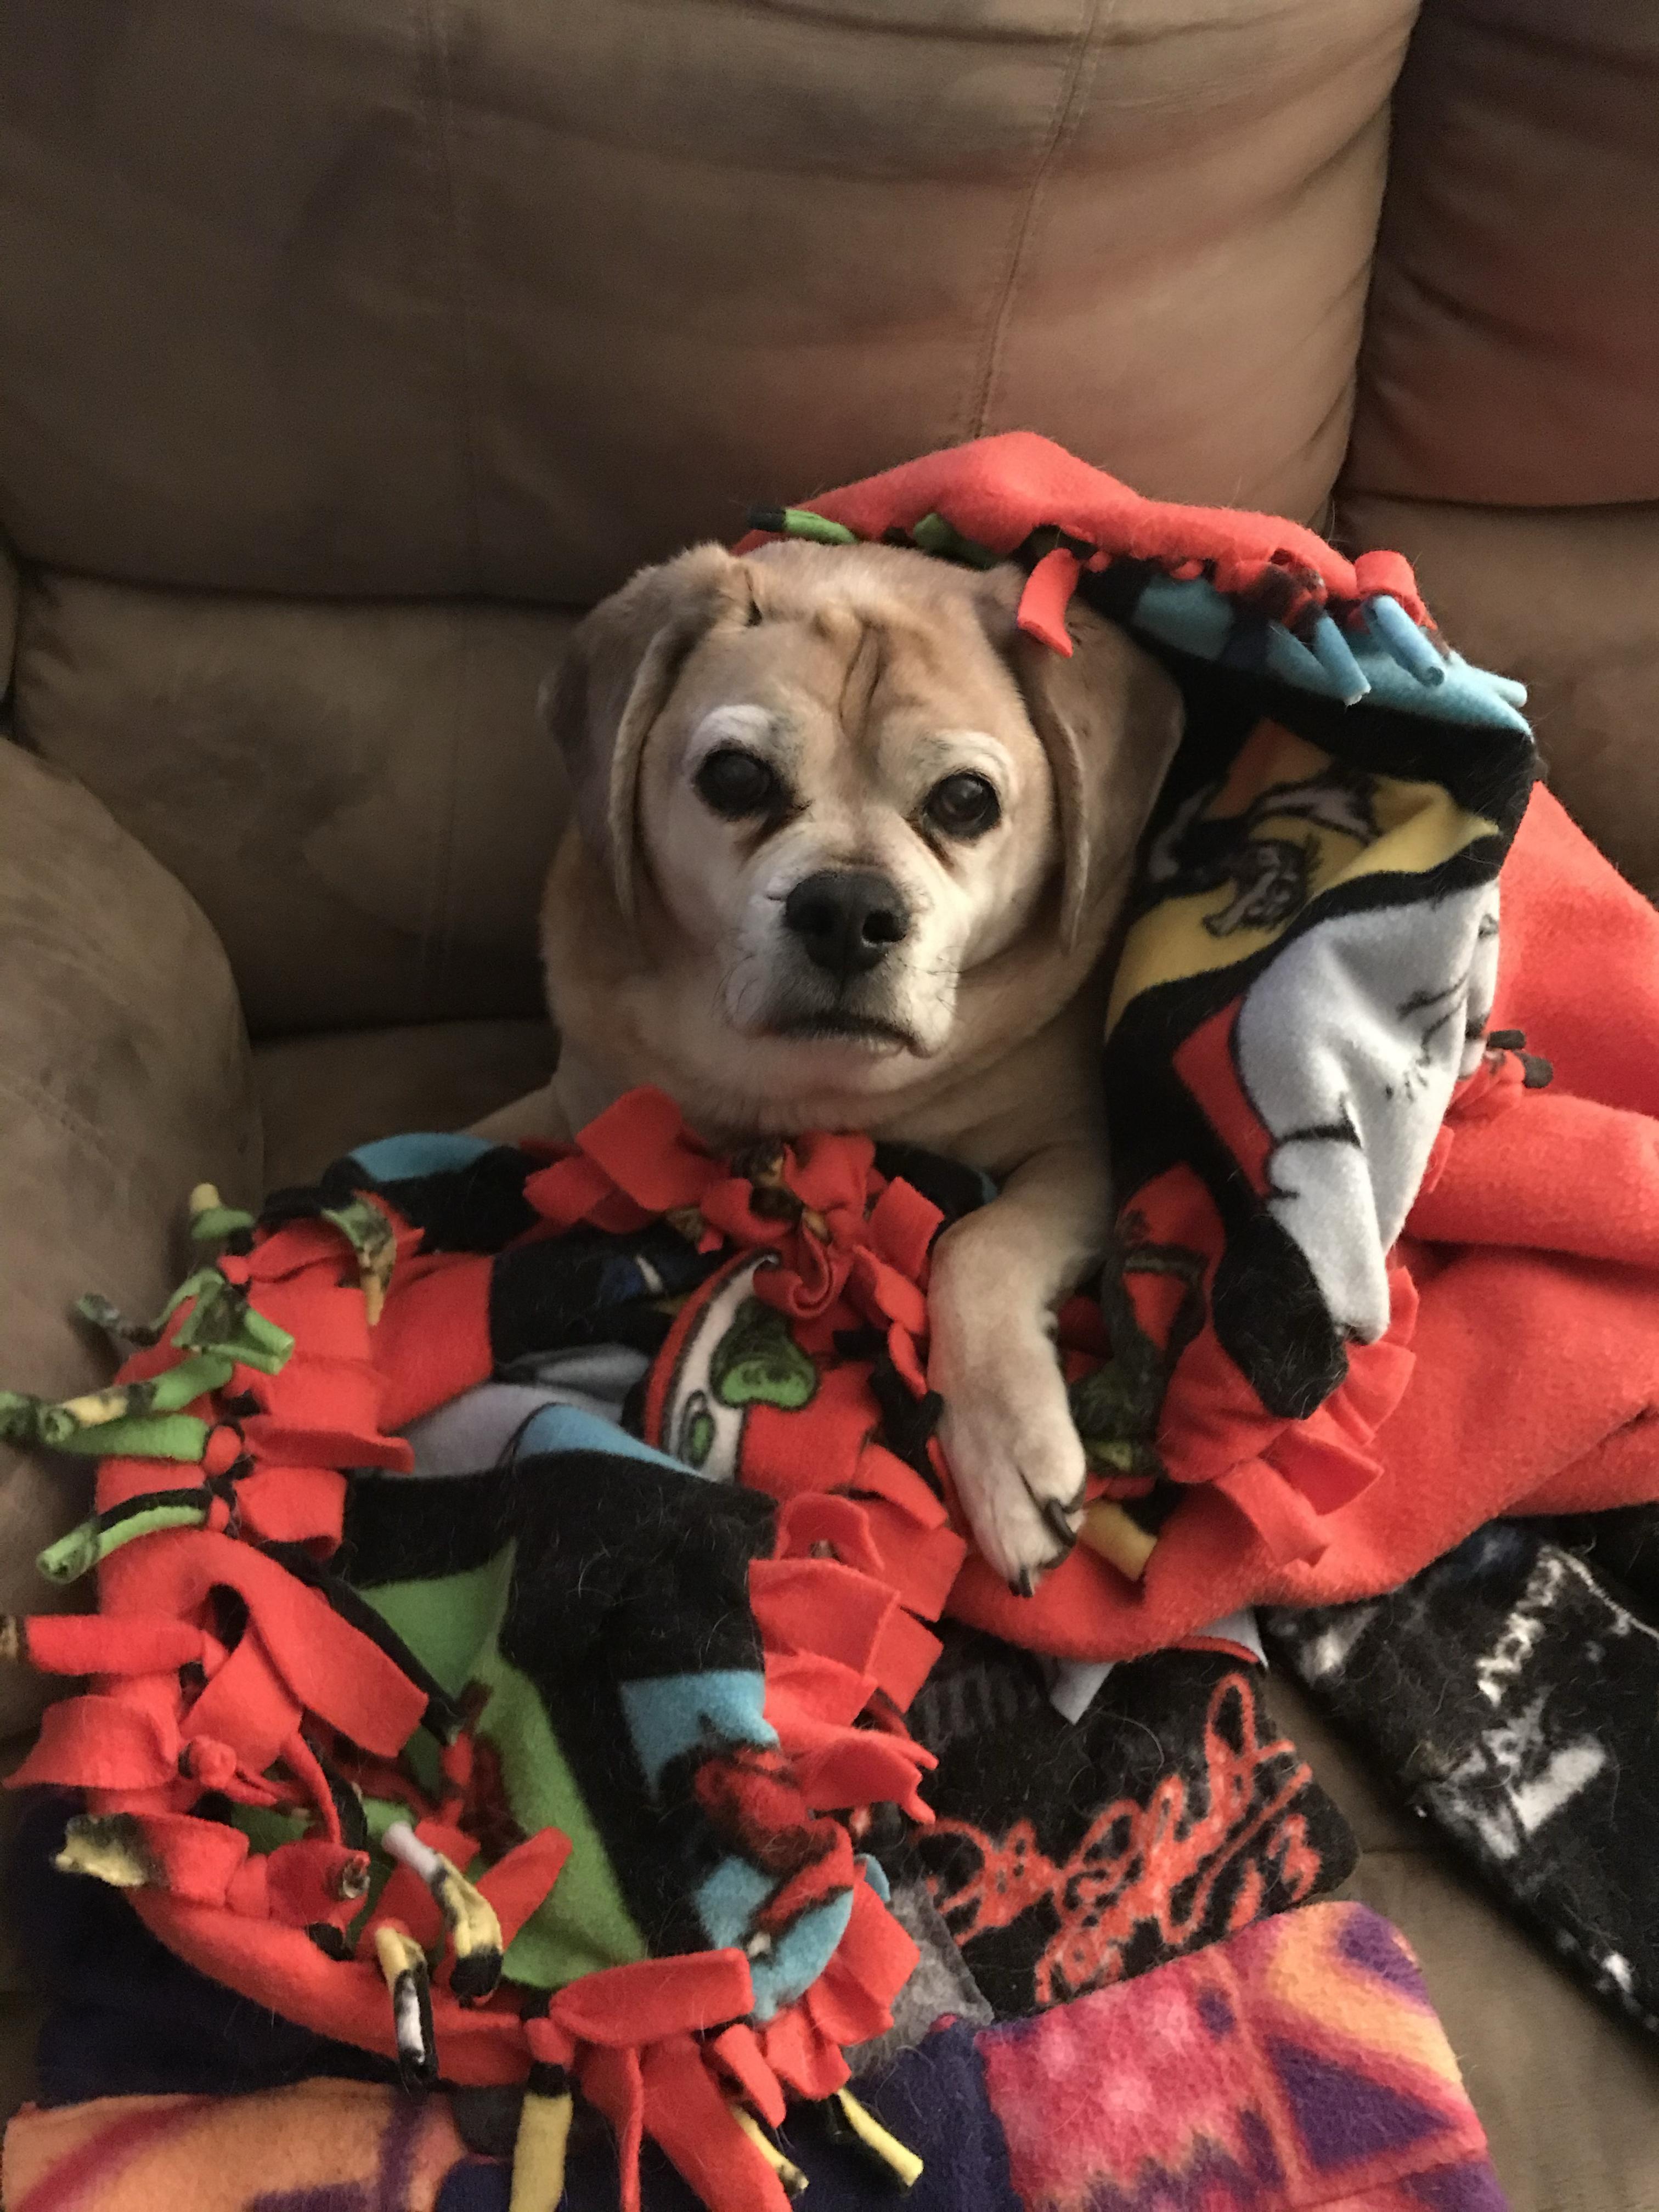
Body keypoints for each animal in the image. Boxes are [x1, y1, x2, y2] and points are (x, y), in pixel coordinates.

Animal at [486, 537, 1182, 1592]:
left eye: (965, 801)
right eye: (735, 778)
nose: (848, 911)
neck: (808, 1087)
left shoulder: (1076, 1156)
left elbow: (977, 1244)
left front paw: (1008, 1450)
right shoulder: (577, 1104)